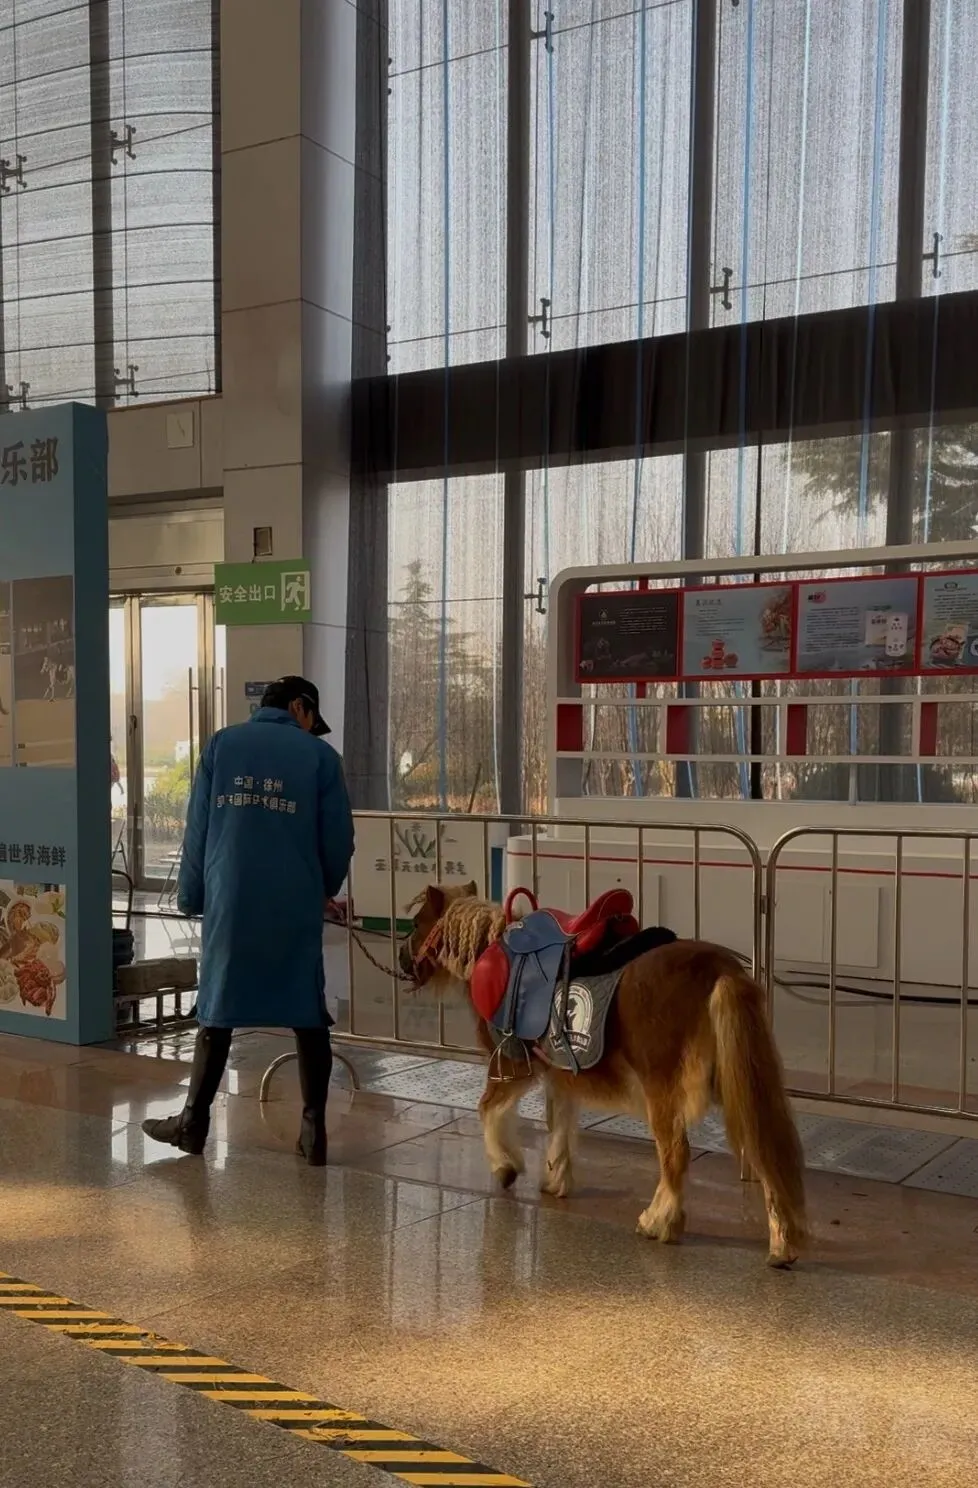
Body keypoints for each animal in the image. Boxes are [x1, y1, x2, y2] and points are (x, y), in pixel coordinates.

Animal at [400, 883, 807, 1268]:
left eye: (416, 923)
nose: (402, 959)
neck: (494, 958)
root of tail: (720, 971)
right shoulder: (560, 1073)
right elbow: (560, 1122)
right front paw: (556, 1178)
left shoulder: (512, 1065)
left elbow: (488, 1109)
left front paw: (505, 1167)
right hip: (739, 1082)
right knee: (762, 1147)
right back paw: (782, 1243)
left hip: (662, 1088)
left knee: (676, 1153)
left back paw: (660, 1220)